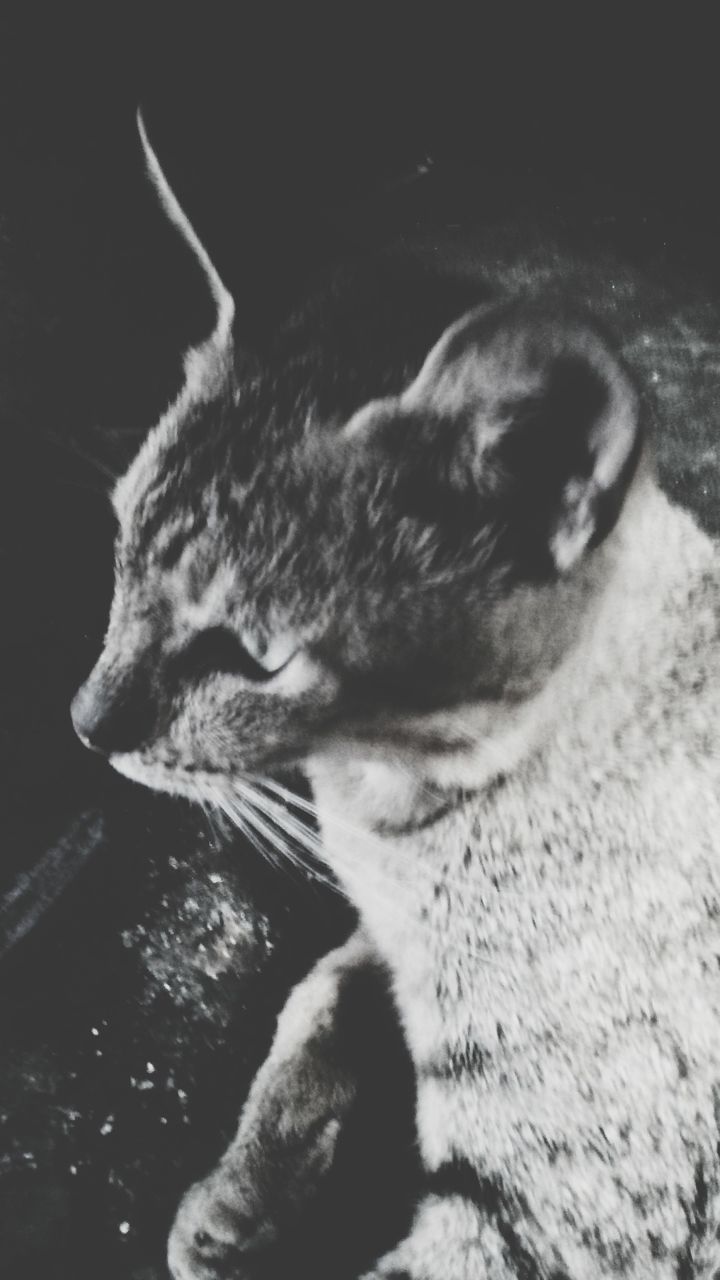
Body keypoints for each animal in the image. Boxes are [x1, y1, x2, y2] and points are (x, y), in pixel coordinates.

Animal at [70, 120, 717, 1280]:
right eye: (121, 548)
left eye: (256, 655)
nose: (84, 726)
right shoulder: (376, 942)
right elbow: (320, 999)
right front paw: (238, 1193)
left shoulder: (559, 1222)